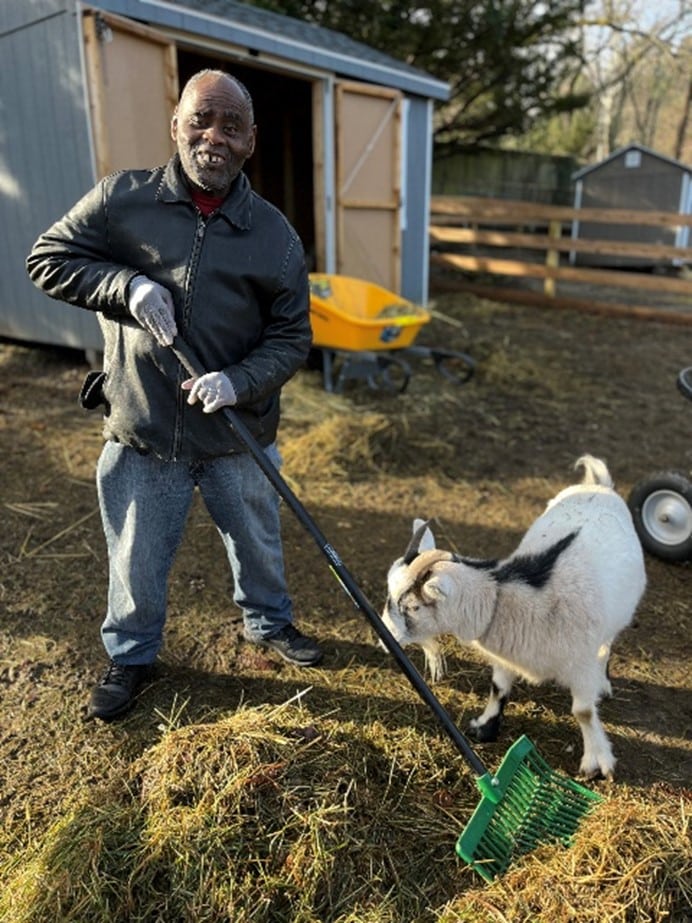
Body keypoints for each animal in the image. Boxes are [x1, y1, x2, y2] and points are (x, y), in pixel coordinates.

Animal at [382, 456, 648, 780]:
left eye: (412, 607)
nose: (385, 636)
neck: (505, 598)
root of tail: (599, 485)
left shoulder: (580, 664)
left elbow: (583, 711)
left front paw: (596, 763)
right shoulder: (504, 656)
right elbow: (498, 688)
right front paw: (484, 728)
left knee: (607, 645)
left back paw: (604, 684)